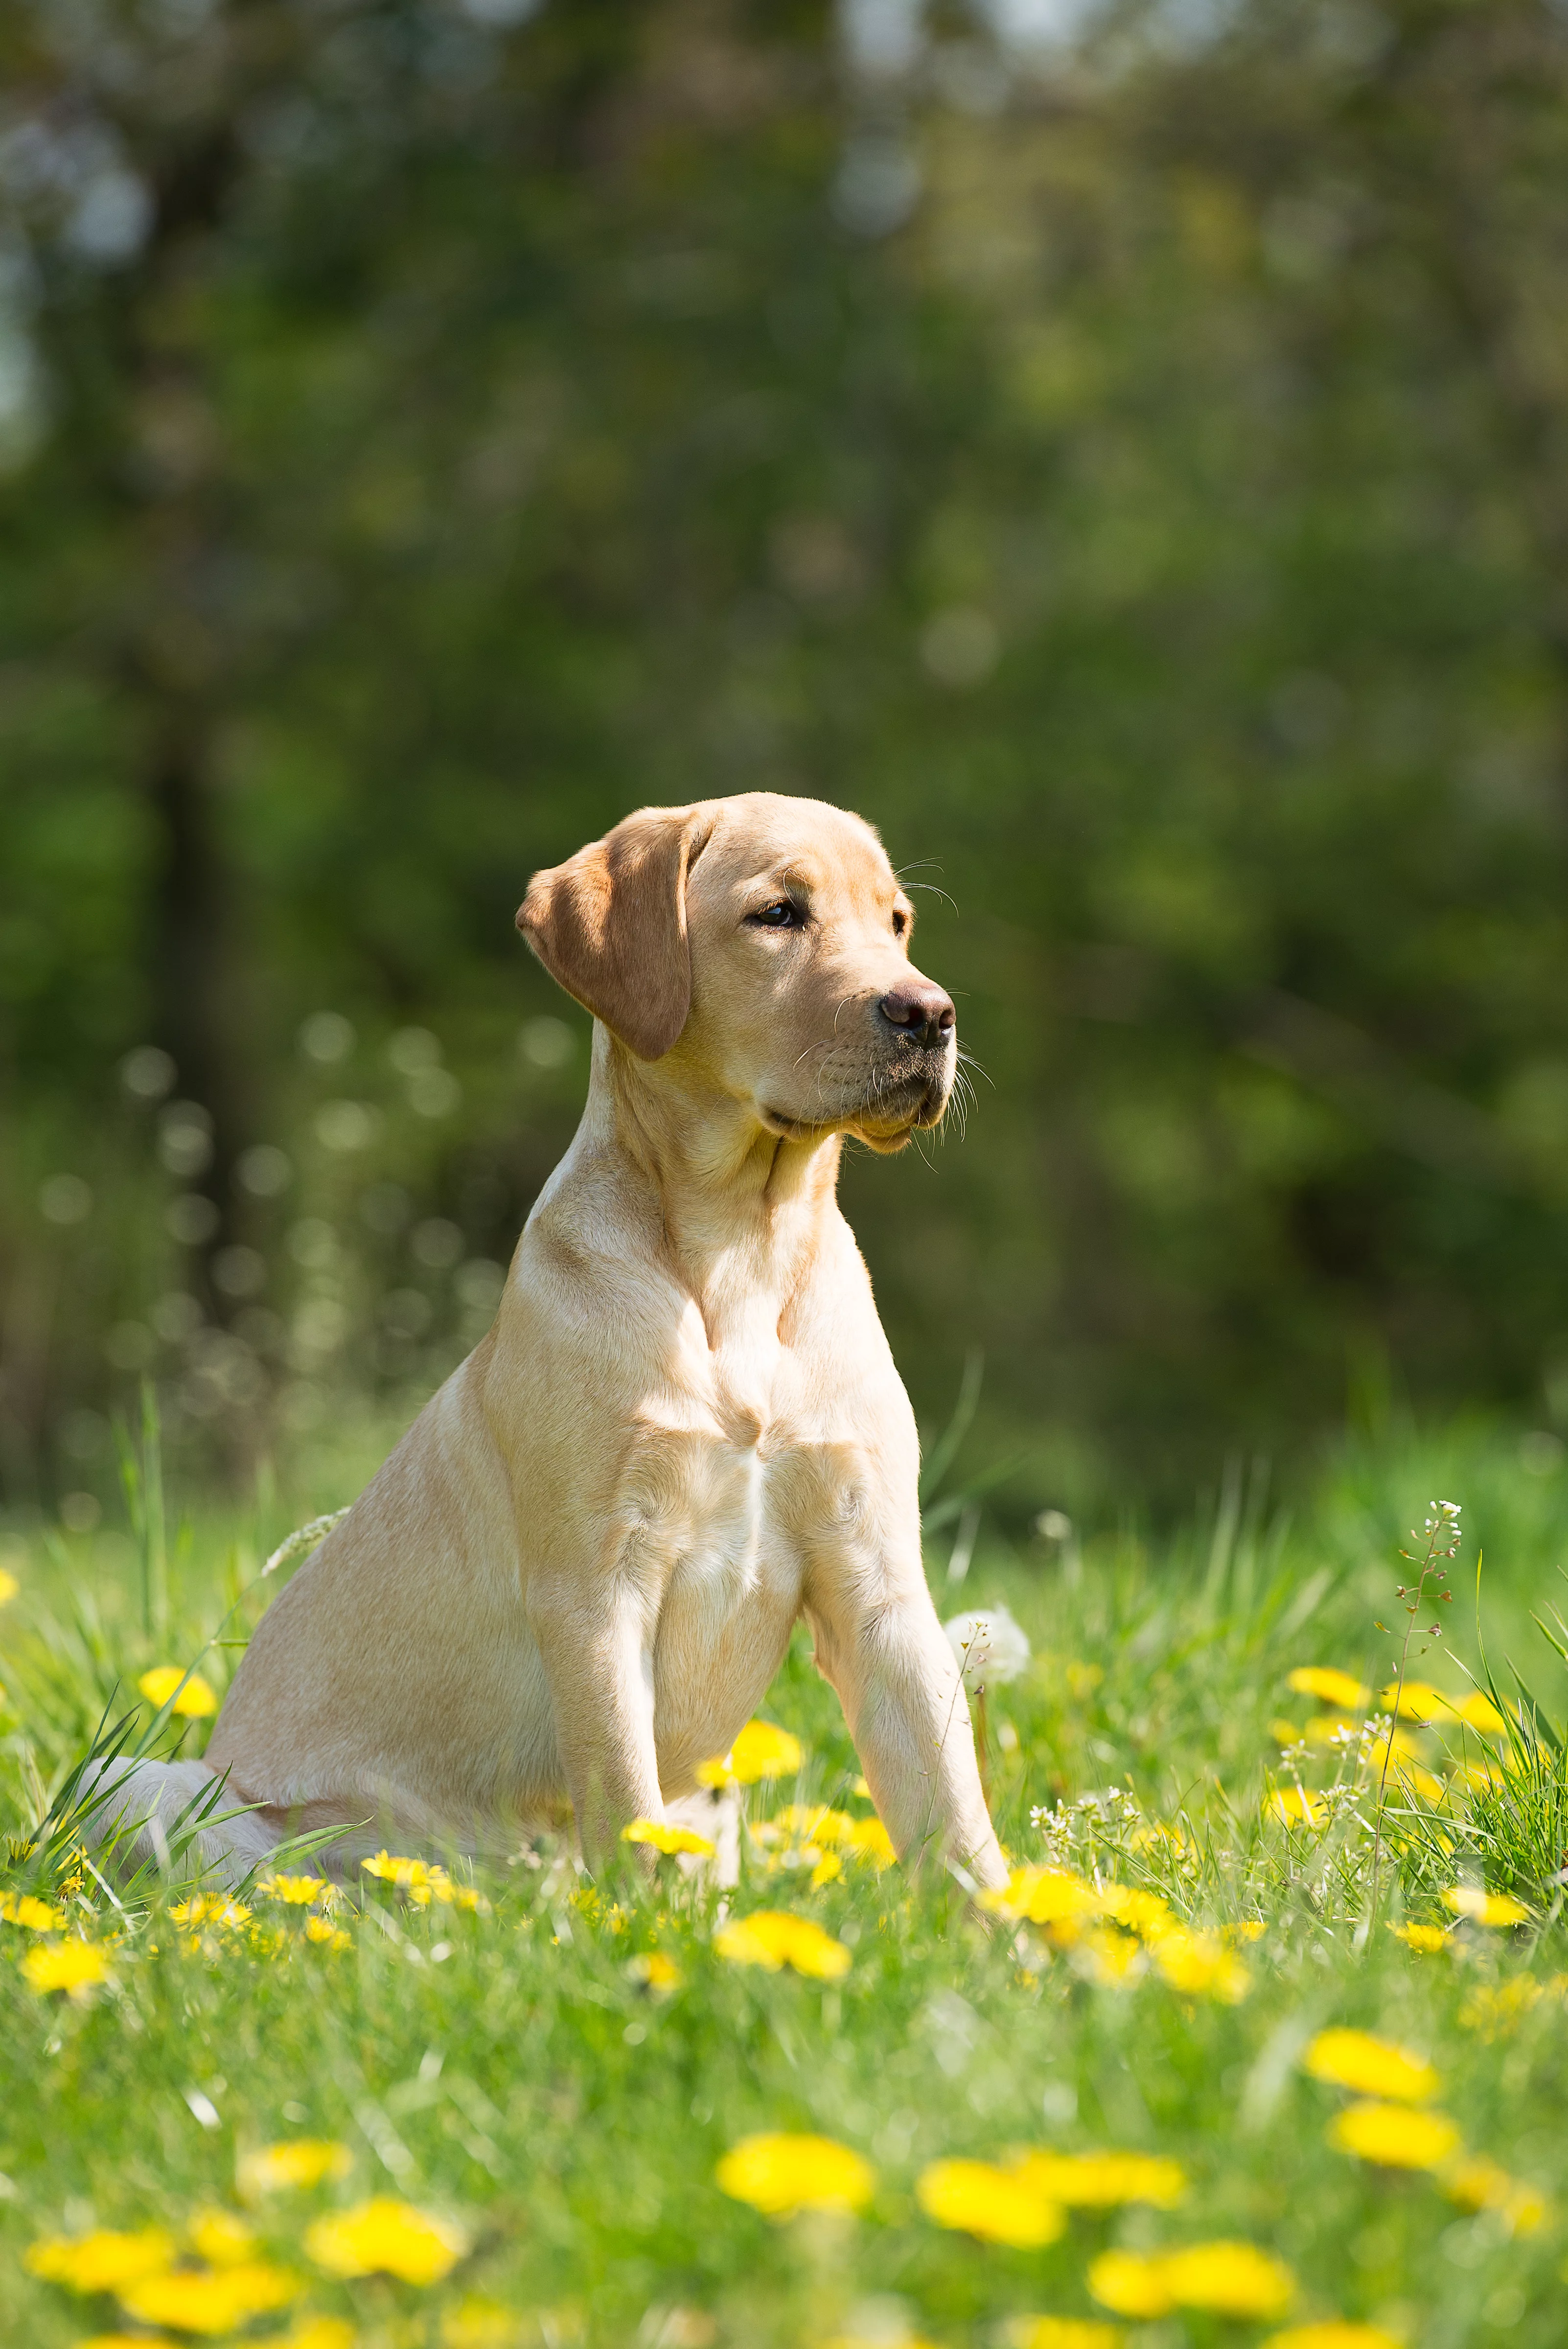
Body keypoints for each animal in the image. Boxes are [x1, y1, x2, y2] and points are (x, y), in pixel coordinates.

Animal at [89, 789, 1004, 1888]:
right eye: (778, 914)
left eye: (897, 923)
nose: (930, 1014)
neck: (739, 1252)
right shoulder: (595, 1591)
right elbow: (622, 1791)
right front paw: (641, 1920)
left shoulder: (878, 1584)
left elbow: (953, 1809)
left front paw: (1015, 1928)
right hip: (140, 1783)